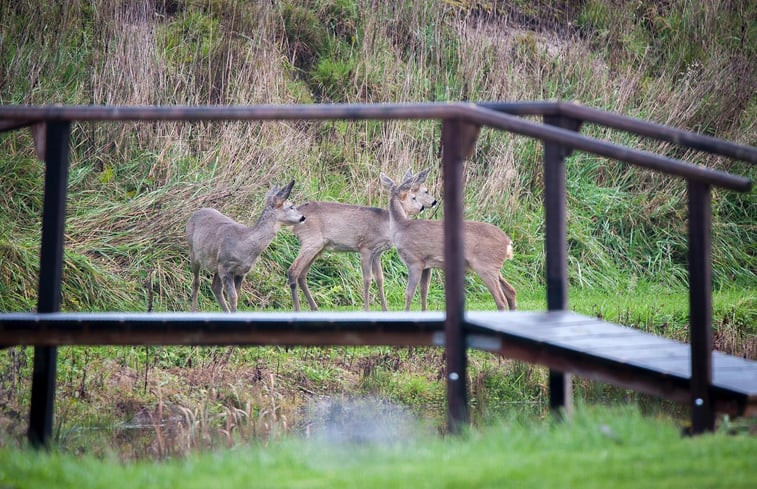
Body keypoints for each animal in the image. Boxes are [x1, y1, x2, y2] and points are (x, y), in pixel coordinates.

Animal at [187, 180, 304, 312]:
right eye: (291, 206)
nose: (303, 217)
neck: (244, 245)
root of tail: (195, 213)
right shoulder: (225, 267)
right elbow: (233, 297)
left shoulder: (241, 271)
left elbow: (236, 295)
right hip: (193, 252)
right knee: (196, 282)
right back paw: (194, 310)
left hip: (216, 265)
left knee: (215, 288)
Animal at [288, 170, 438, 310]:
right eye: (414, 197)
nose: (424, 206)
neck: (386, 225)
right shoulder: (365, 247)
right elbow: (367, 279)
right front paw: (366, 308)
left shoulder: (377, 252)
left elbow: (380, 279)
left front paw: (385, 309)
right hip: (311, 241)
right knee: (293, 271)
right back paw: (298, 309)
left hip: (318, 247)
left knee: (302, 274)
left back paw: (314, 308)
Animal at [380, 170, 516, 310]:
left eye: (414, 196)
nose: (423, 207)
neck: (402, 227)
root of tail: (508, 242)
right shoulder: (427, 264)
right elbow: (424, 291)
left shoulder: (415, 261)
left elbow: (409, 293)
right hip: (493, 266)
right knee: (511, 291)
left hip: (486, 266)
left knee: (501, 300)